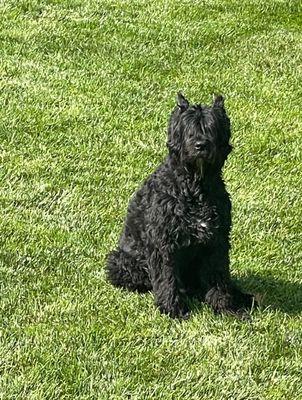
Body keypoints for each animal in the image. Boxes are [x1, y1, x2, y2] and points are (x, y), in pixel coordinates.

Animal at [106, 91, 255, 318]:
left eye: (211, 127)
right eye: (189, 129)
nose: (201, 145)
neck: (194, 189)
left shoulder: (217, 242)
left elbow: (218, 276)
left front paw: (224, 305)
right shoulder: (164, 243)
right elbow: (166, 277)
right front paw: (172, 308)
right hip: (122, 260)